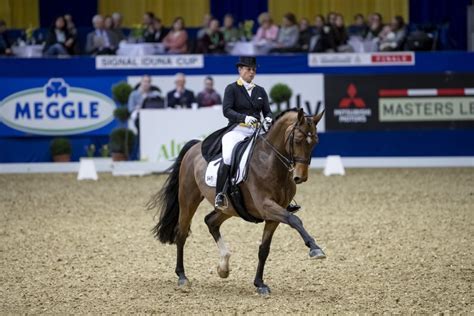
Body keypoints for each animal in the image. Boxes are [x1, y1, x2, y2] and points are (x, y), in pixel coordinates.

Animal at [148, 108, 326, 294]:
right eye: (298, 140)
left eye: (315, 142)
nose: (300, 177)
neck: (270, 162)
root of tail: (195, 146)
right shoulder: (266, 206)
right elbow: (295, 219)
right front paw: (315, 248)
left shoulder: (274, 214)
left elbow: (264, 249)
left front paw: (260, 284)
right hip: (188, 199)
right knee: (181, 233)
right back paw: (182, 277)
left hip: (230, 208)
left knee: (211, 221)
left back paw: (223, 267)